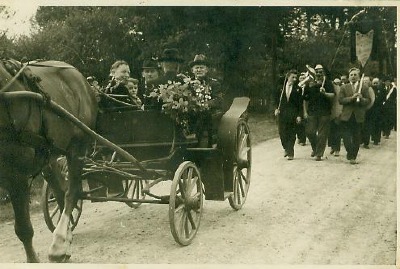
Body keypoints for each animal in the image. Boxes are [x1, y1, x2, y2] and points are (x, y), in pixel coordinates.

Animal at [0, 57, 98, 260]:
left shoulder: (16, 177)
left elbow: (23, 229)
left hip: (78, 146)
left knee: (71, 191)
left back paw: (59, 242)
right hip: (49, 155)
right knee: (60, 191)